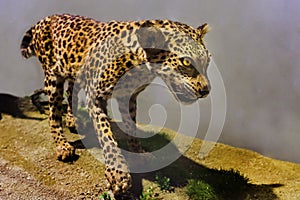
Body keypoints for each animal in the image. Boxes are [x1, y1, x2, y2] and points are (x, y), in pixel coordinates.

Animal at [20, 13, 211, 194]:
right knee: (53, 114)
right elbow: (106, 134)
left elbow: (131, 128)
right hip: (53, 78)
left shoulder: (129, 97)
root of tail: (43, 20)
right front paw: (118, 174)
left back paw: (72, 120)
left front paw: (138, 153)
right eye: (186, 62)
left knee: (71, 91)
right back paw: (62, 145)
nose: (206, 90)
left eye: (207, 62)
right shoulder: (95, 97)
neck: (139, 64)